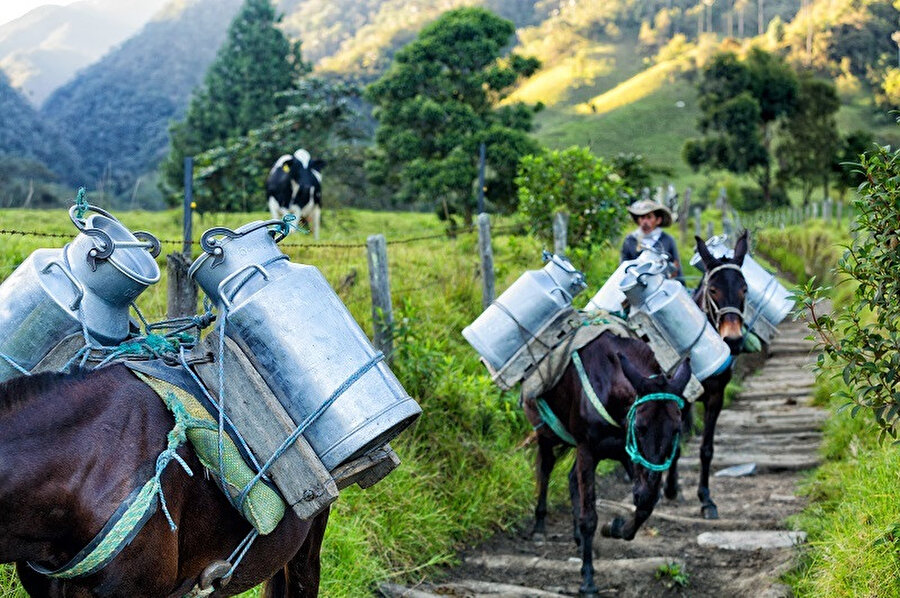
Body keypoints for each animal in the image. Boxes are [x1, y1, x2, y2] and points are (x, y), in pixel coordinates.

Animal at [520, 336, 688, 596]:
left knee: (571, 478)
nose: (643, 489)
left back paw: (579, 540)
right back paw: (539, 528)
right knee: (545, 469)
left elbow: (645, 506)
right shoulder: (588, 449)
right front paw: (588, 580)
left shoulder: (626, 452)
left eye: (676, 430)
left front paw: (615, 527)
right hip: (545, 430)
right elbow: (590, 517)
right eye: (640, 427)